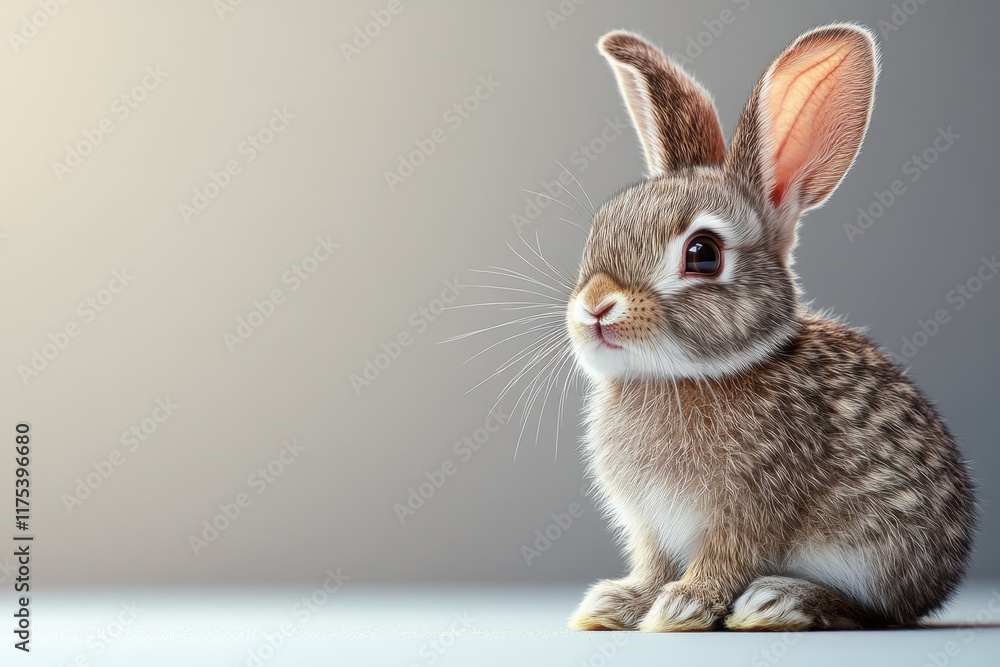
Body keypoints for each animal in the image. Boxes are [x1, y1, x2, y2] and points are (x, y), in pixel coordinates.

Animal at [565, 23, 976, 632]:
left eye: (703, 254)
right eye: (600, 230)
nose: (595, 307)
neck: (687, 376)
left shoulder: (751, 509)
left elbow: (726, 559)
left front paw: (681, 607)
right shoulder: (651, 525)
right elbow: (654, 562)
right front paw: (621, 602)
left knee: (872, 613)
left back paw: (780, 601)